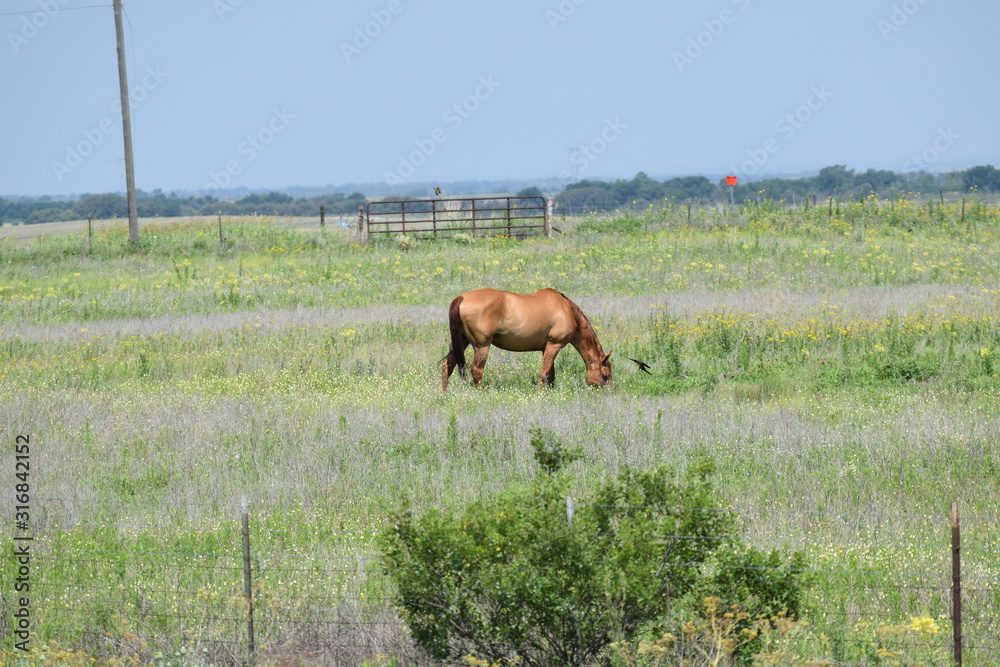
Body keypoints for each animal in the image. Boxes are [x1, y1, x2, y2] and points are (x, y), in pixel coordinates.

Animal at [442, 288, 612, 390]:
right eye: (605, 376)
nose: (609, 394)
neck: (567, 310)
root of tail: (461, 298)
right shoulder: (554, 344)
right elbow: (544, 372)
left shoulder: (546, 348)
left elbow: (551, 373)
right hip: (481, 345)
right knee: (476, 371)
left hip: (462, 342)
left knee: (448, 365)